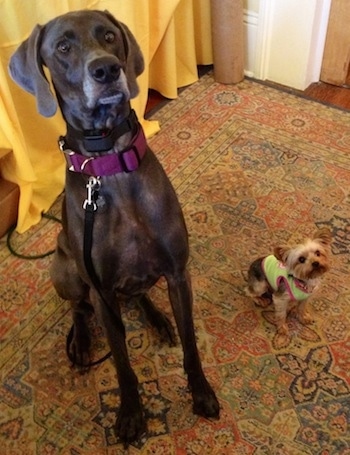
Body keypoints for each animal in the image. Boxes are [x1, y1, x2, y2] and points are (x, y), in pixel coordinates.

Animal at [8, 9, 219, 446]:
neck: (109, 161)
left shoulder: (178, 273)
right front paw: (131, 415)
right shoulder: (103, 295)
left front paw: (201, 392)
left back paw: (157, 319)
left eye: (108, 35)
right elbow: (122, 363)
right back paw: (82, 343)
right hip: (65, 268)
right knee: (77, 307)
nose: (106, 69)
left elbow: (191, 343)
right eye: (63, 47)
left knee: (138, 295)